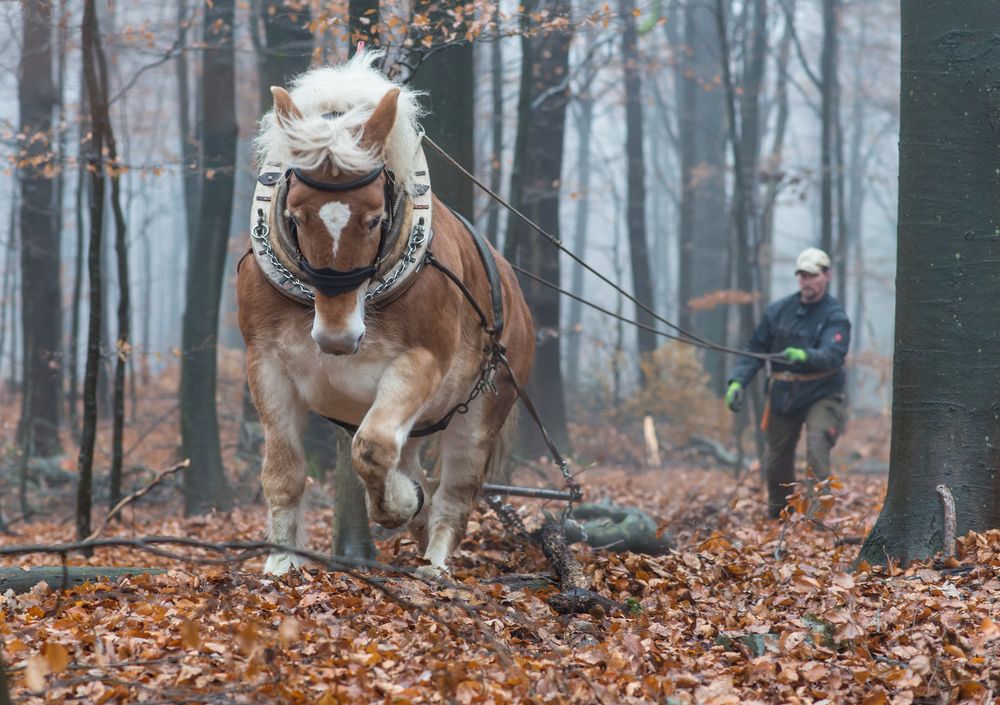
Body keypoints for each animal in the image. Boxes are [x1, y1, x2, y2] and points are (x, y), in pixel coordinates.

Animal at [238, 52, 536, 576]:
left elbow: (373, 449)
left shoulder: (421, 362)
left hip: (483, 403)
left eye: (375, 218)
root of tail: (514, 291)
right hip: (423, 417)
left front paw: (399, 503)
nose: (337, 339)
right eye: (294, 216)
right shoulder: (266, 364)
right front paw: (279, 566)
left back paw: (434, 563)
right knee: (414, 463)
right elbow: (283, 474)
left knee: (455, 492)